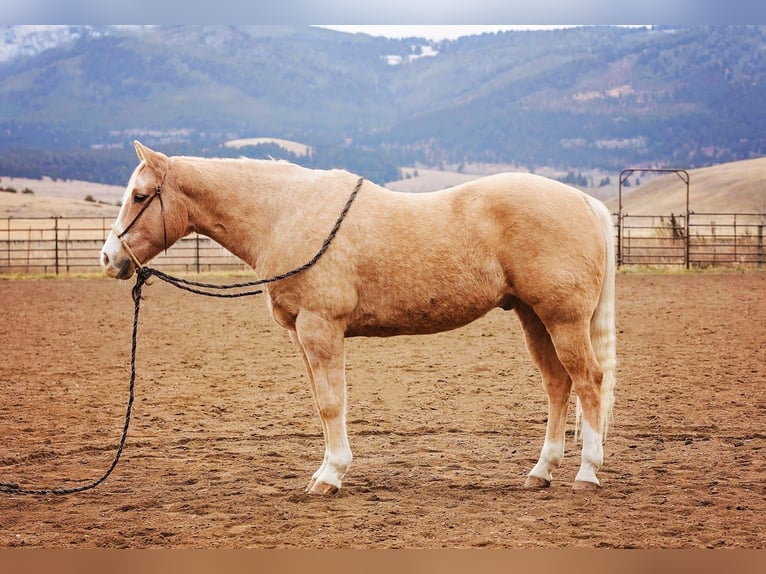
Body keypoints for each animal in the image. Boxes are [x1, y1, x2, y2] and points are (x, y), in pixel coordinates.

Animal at [101, 141, 617, 495]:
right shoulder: (301, 335)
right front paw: (325, 468)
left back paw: (587, 473)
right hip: (534, 317)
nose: (109, 258)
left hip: (563, 319)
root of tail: (583, 202)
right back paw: (541, 471)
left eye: (141, 196)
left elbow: (333, 403)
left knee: (588, 381)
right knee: (557, 384)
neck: (285, 214)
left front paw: (330, 475)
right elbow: (320, 402)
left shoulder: (320, 327)